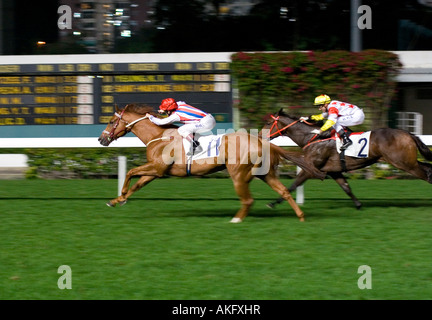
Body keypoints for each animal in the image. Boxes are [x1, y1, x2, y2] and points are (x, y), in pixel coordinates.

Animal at [99, 104, 326, 222]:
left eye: (111, 121)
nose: (101, 139)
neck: (159, 136)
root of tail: (262, 140)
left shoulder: (158, 168)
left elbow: (130, 172)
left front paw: (121, 196)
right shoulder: (156, 171)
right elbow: (137, 183)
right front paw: (118, 199)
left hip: (239, 175)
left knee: (248, 200)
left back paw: (236, 219)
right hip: (264, 173)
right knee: (284, 191)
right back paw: (301, 216)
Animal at [260, 109, 432, 210]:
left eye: (268, 123)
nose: (260, 135)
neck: (312, 138)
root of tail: (408, 133)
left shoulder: (311, 168)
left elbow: (293, 185)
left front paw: (273, 203)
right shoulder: (334, 171)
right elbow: (346, 187)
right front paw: (358, 204)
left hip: (404, 163)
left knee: (427, 174)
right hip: (408, 161)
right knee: (428, 168)